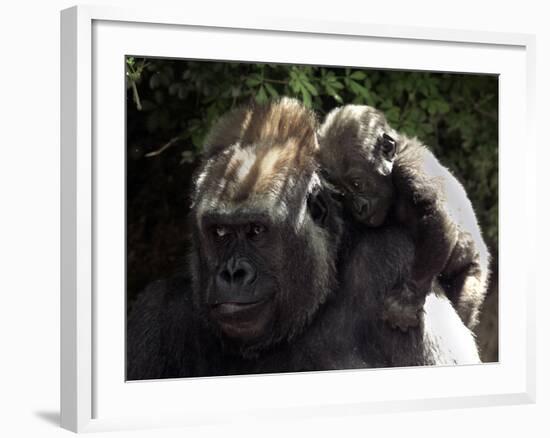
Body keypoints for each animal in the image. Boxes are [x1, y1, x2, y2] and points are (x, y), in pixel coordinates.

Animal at [320, 104, 492, 330]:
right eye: (341, 193)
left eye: (357, 184)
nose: (359, 208)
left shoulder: (410, 168)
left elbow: (435, 215)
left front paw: (407, 299)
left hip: (476, 271)